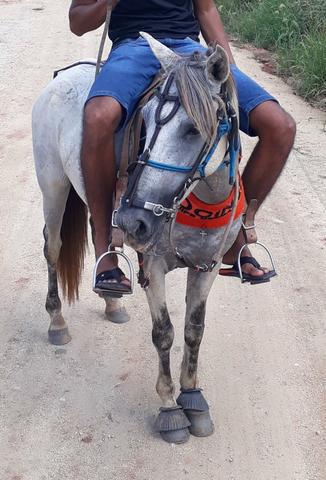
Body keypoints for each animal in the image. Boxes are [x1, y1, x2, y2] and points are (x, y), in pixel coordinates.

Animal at [33, 33, 241, 444]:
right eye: (144, 119)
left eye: (193, 129)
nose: (134, 220)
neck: (200, 203)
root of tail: (65, 76)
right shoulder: (154, 265)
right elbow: (164, 333)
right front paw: (170, 409)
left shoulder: (207, 267)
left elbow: (194, 330)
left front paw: (193, 397)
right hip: (53, 186)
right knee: (54, 247)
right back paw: (57, 322)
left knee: (101, 236)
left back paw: (112, 296)